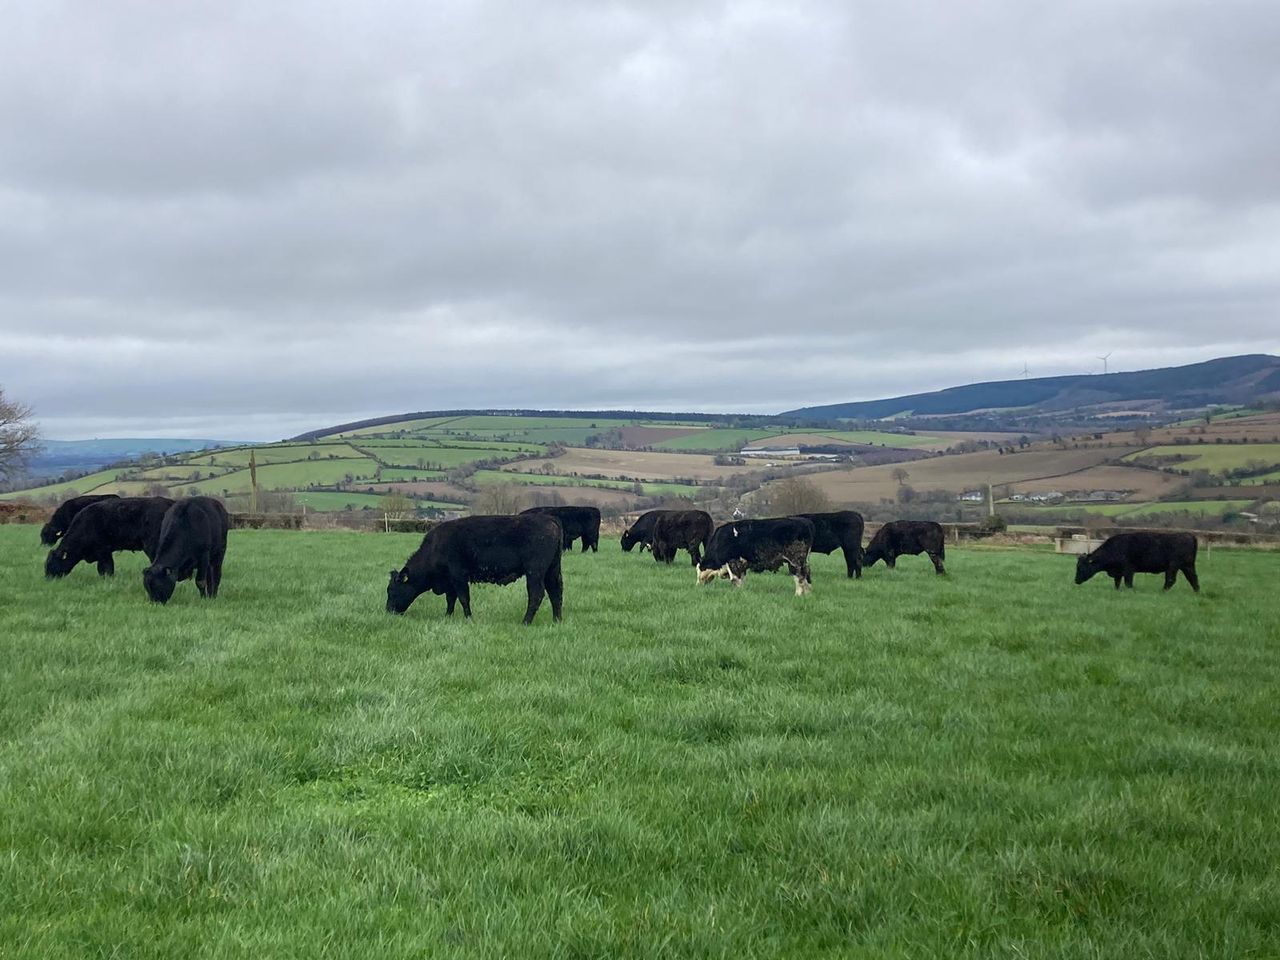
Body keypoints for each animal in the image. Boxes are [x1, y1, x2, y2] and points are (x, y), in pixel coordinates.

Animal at [387, 514, 564, 624]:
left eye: (392, 590)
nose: (388, 611)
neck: (435, 547)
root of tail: (549, 519)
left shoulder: (459, 576)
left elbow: (463, 598)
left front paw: (469, 619)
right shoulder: (450, 581)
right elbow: (451, 600)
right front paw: (447, 616)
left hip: (535, 571)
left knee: (536, 594)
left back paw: (525, 621)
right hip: (552, 570)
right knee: (556, 592)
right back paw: (557, 620)